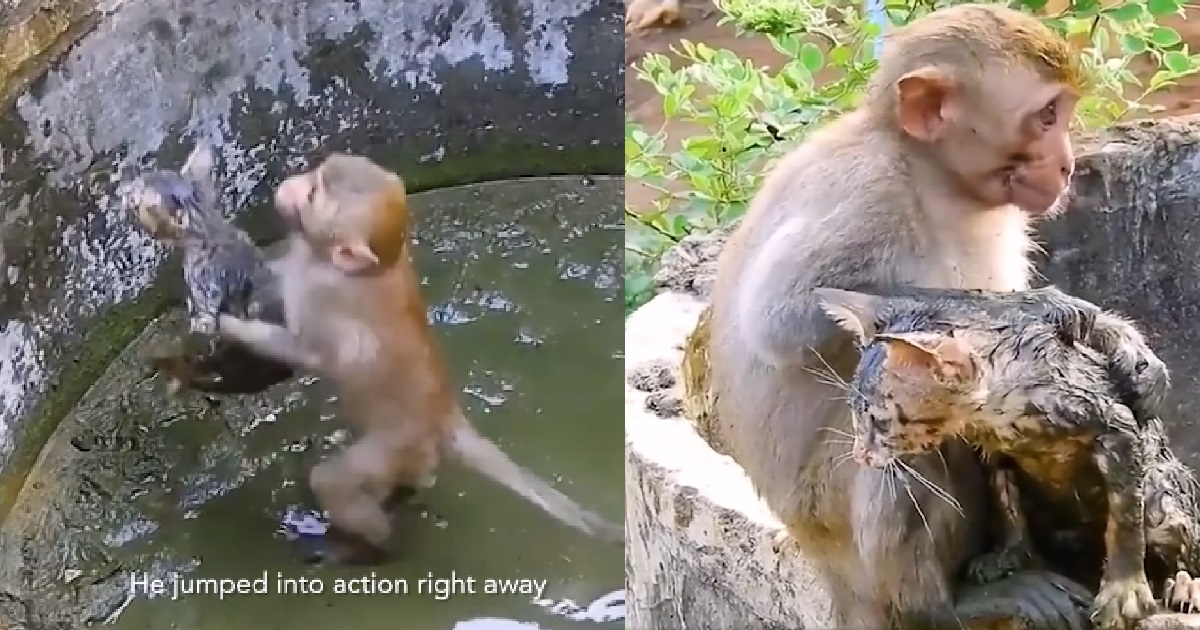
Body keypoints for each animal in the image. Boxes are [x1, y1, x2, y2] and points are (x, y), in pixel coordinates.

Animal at [214, 153, 624, 563]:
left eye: (314, 193)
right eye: (316, 174)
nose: (291, 185)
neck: (367, 266)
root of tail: (443, 415)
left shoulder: (323, 295)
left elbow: (316, 357)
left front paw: (231, 326)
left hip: (398, 444)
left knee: (334, 482)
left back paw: (373, 547)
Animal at [703, 4, 1165, 629]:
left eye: (1062, 113)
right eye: (1046, 116)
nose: (1069, 164)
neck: (933, 175)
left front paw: (1119, 343)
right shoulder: (863, 194)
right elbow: (778, 318)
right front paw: (1044, 307)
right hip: (846, 528)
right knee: (909, 450)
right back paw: (959, 601)